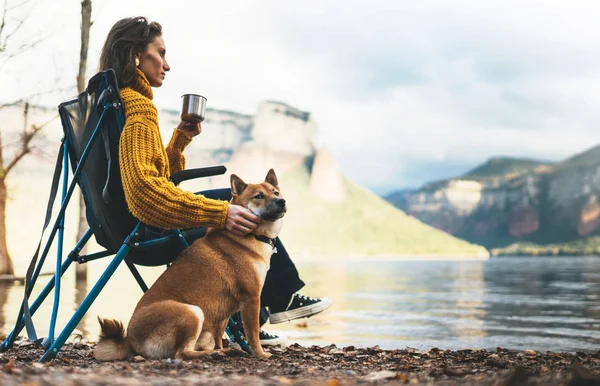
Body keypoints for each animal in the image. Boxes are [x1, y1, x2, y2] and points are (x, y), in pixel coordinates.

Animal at [95, 170, 288, 360]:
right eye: (259, 196)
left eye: (276, 192)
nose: (282, 201)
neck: (249, 235)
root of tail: (130, 340)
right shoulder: (251, 298)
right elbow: (253, 334)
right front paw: (261, 354)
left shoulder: (225, 314)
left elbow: (220, 334)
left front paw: (226, 347)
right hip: (192, 312)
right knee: (182, 353)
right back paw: (216, 354)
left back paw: (221, 351)